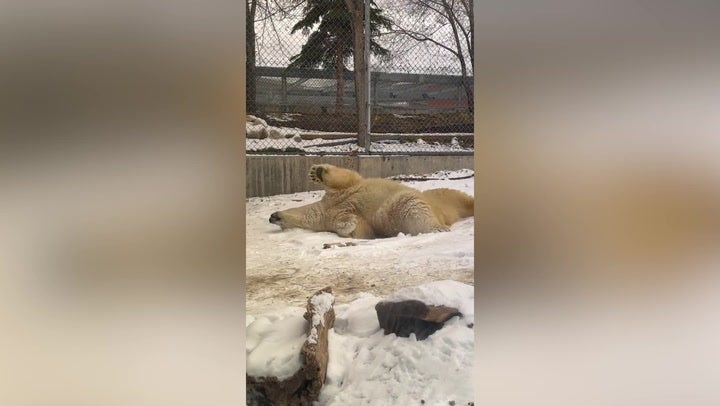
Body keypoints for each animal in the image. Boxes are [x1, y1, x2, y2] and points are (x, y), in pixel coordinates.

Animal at [269, 164, 474, 239]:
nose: (272, 216)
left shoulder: (340, 194)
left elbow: (345, 178)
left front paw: (317, 171)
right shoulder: (330, 215)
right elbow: (360, 228)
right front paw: (349, 224)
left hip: (421, 197)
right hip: (394, 213)